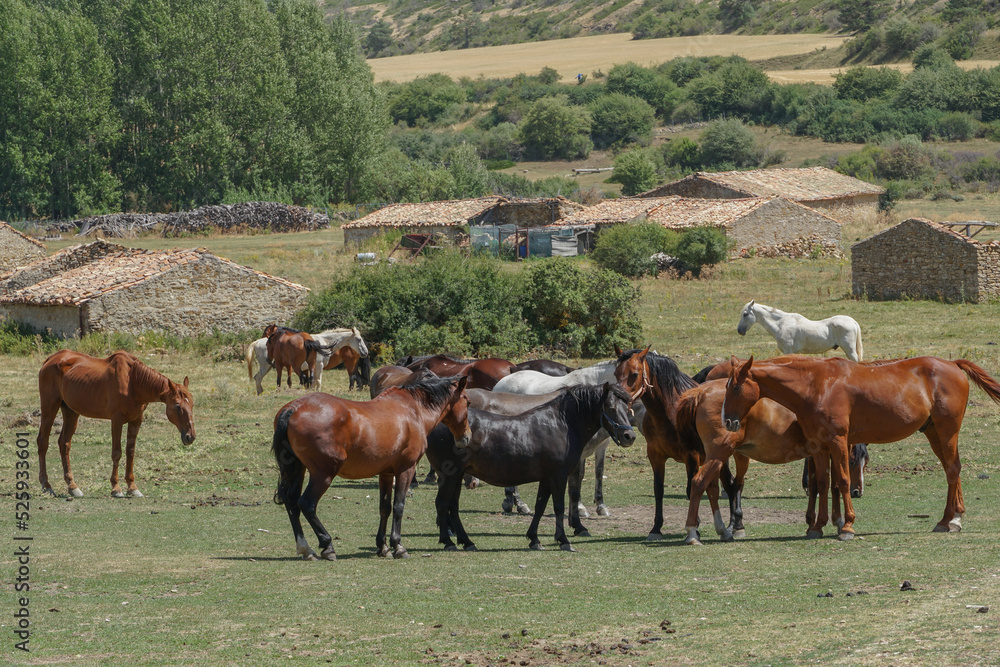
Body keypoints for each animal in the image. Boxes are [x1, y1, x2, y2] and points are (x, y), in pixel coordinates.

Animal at [37, 350, 195, 498]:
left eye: (192, 404)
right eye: (177, 406)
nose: (190, 436)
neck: (133, 382)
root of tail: (51, 359)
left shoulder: (136, 420)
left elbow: (130, 452)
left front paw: (132, 487)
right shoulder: (117, 420)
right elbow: (117, 452)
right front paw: (116, 488)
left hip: (71, 412)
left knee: (64, 444)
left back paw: (72, 486)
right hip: (50, 407)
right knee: (43, 442)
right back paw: (46, 485)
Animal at [271, 375, 470, 561]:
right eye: (467, 401)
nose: (466, 437)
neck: (414, 410)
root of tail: (294, 408)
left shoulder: (386, 473)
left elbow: (385, 508)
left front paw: (383, 547)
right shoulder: (406, 469)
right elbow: (399, 506)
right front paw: (398, 546)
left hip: (298, 469)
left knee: (292, 502)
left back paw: (306, 549)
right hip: (323, 474)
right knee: (307, 504)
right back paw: (327, 546)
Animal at [426, 383, 636, 552]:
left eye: (628, 408)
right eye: (610, 407)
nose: (629, 436)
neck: (561, 425)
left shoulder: (546, 479)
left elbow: (540, 507)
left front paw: (534, 539)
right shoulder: (558, 477)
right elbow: (558, 507)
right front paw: (564, 541)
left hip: (457, 476)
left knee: (452, 506)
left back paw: (467, 542)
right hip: (449, 477)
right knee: (442, 504)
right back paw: (448, 542)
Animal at [613, 346, 743, 541]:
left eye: (634, 374)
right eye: (615, 373)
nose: (619, 398)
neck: (669, 410)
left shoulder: (691, 456)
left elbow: (690, 489)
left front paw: (695, 527)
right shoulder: (655, 457)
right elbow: (658, 490)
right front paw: (656, 528)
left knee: (734, 484)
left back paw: (736, 525)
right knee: (728, 483)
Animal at [721, 355, 1000, 538]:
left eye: (735, 387)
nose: (726, 420)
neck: (816, 385)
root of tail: (952, 365)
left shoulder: (838, 441)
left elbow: (842, 481)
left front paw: (847, 526)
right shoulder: (818, 446)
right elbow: (823, 483)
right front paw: (817, 526)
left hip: (947, 431)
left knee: (952, 470)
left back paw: (949, 520)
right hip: (934, 433)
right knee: (953, 469)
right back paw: (953, 518)